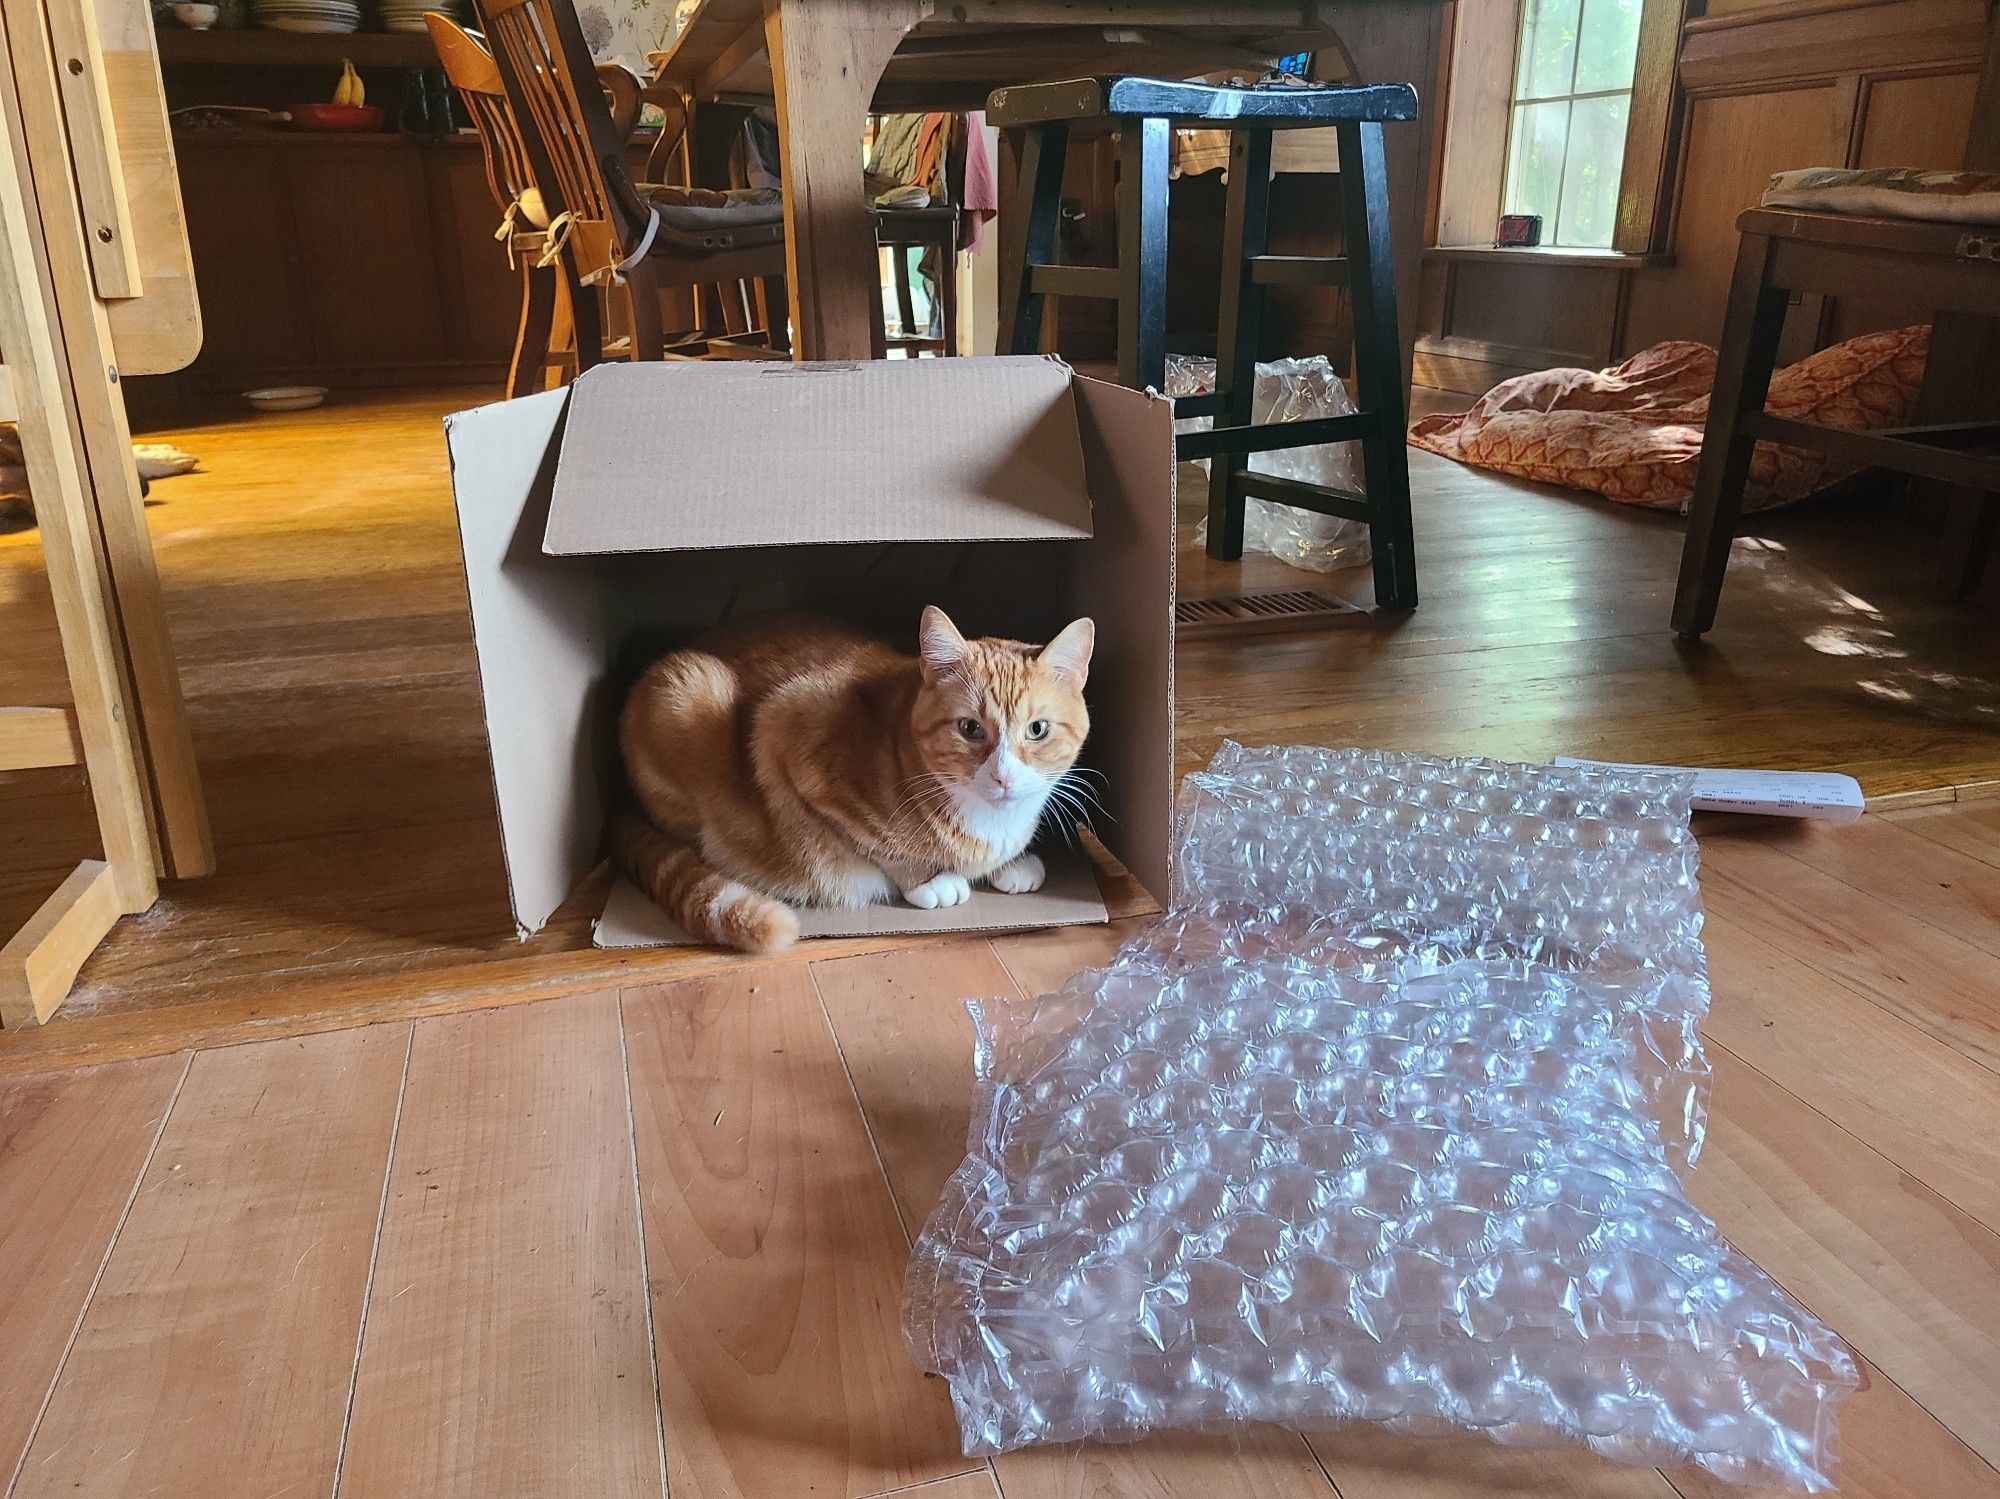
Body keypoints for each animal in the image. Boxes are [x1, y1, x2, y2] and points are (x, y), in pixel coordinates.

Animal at [620, 607, 1104, 951]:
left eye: (1037, 730)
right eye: (969, 728)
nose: (1003, 778)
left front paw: (1009, 864)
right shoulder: (790, 737)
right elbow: (878, 847)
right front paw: (930, 881)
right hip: (690, 689)